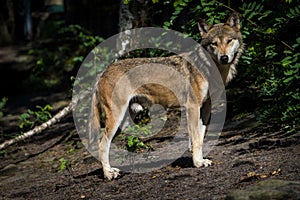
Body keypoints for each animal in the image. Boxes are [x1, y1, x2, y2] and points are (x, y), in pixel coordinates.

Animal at [89, 12, 244, 180]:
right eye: (214, 44)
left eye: (229, 41)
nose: (224, 58)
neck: (210, 69)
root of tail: (102, 73)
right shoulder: (192, 107)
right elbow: (196, 140)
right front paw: (197, 163)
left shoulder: (206, 108)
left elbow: (200, 138)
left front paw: (201, 159)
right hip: (117, 118)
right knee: (102, 144)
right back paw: (108, 174)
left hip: (125, 121)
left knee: (105, 143)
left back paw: (113, 170)